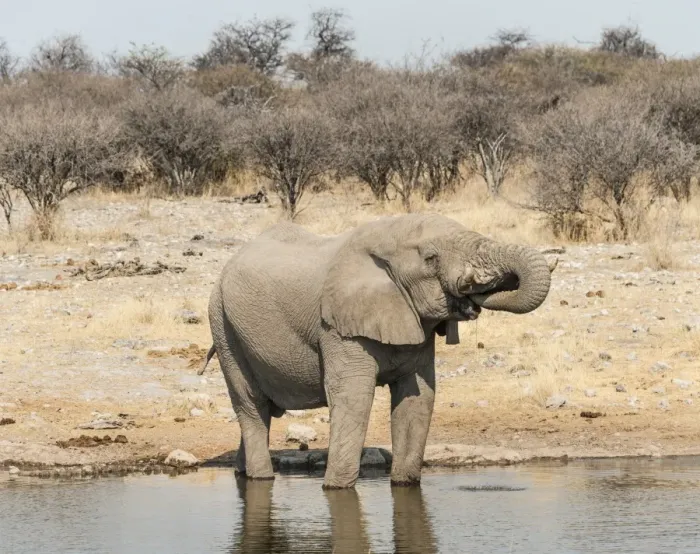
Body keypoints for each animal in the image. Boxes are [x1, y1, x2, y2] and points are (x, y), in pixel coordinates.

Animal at [204, 213, 554, 489]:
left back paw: (242, 473)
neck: (386, 239)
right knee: (251, 404)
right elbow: (353, 398)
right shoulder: (339, 327)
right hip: (223, 325)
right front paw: (336, 488)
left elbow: (418, 398)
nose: (472, 293)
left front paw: (404, 483)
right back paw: (261, 477)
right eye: (431, 258)